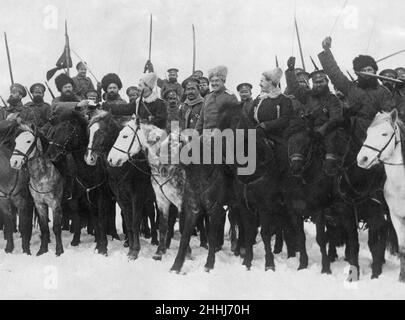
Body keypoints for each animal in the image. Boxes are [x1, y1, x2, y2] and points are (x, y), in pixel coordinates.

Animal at [9, 124, 64, 256]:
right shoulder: (40, 204)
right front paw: (42, 250)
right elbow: (44, 227)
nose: (14, 162)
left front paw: (59, 251)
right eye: (16, 141)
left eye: (28, 141)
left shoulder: (55, 204)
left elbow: (56, 227)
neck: (43, 176)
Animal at [45, 110, 113, 255]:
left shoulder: (101, 199)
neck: (90, 172)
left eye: (70, 130)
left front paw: (103, 247)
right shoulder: (81, 199)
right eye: (54, 131)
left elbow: (100, 221)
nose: (50, 154)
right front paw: (79, 241)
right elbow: (81, 219)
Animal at [106, 117, 184, 260]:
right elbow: (129, 223)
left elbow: (135, 222)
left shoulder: (137, 198)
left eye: (125, 136)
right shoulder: (122, 200)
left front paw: (135, 251)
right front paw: (130, 248)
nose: (111, 159)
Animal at [356, 109, 404, 280]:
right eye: (368, 132)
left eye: (384, 133)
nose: (362, 159)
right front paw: (401, 278)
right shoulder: (396, 217)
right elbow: (402, 248)